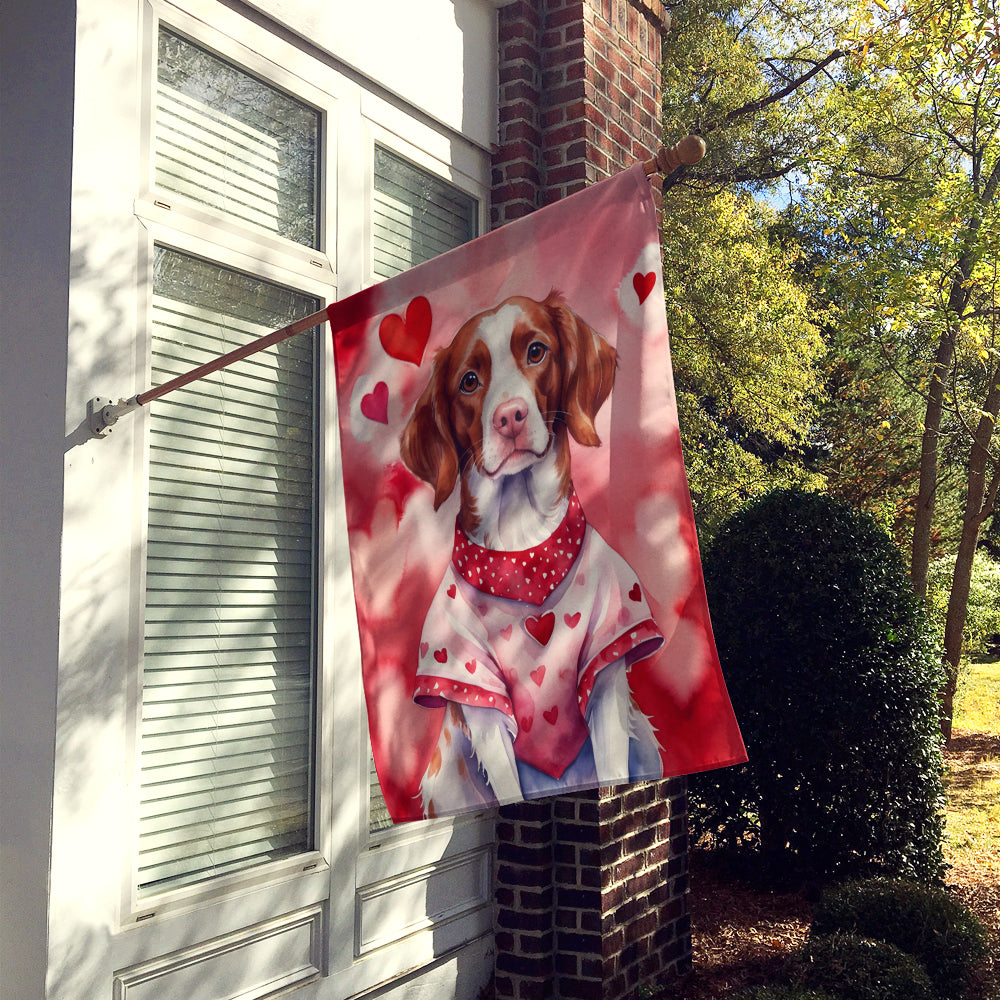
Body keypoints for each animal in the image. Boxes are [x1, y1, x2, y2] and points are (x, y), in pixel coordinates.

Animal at [398, 292, 664, 812]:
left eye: (536, 351)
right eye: (469, 381)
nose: (510, 417)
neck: (523, 551)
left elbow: (611, 769)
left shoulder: (607, 667)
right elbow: (509, 788)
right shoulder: (474, 691)